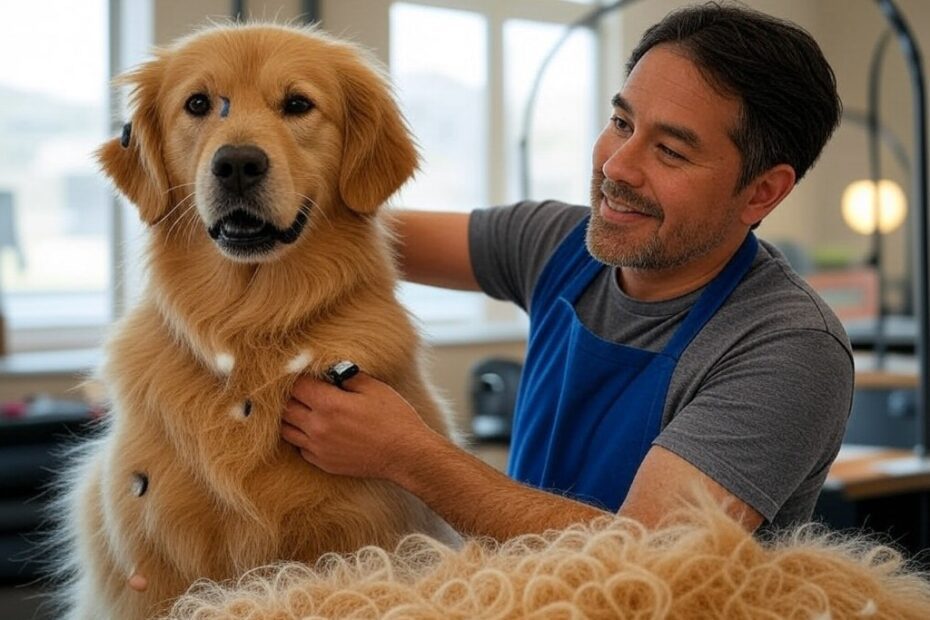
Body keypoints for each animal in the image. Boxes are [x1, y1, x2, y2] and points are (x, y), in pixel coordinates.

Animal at [53, 21, 454, 616]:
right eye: (198, 103)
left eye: (298, 104)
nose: (238, 163)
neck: (247, 326)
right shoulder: (158, 565)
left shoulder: (363, 536)